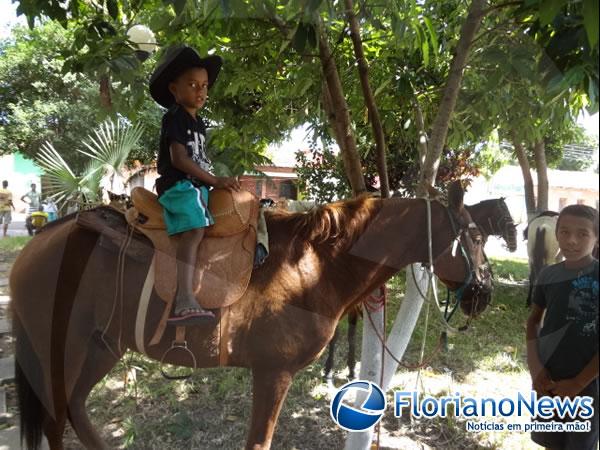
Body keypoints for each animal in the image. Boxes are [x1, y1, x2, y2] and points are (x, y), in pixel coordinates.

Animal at [11, 181, 490, 448]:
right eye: (475, 236)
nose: (483, 293)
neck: (312, 266)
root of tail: (38, 242)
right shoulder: (273, 372)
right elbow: (259, 442)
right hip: (62, 349)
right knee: (56, 418)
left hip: (101, 346)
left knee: (73, 408)